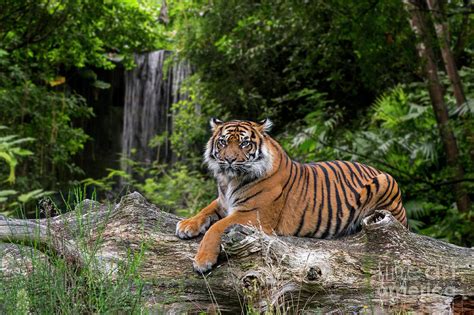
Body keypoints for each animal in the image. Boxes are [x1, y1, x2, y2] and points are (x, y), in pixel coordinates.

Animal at [175, 118, 408, 272]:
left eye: (244, 143)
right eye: (223, 142)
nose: (229, 160)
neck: (231, 180)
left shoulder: (254, 213)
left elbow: (216, 228)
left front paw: (202, 261)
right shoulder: (223, 201)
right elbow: (205, 210)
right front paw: (187, 225)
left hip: (386, 181)